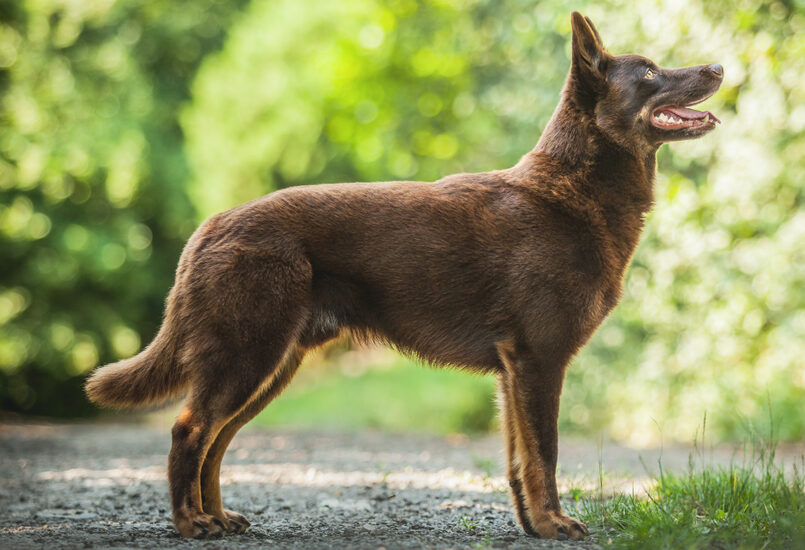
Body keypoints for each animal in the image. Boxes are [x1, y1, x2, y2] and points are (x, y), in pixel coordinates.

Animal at [86, 12, 724, 544]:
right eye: (649, 72)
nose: (718, 67)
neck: (573, 190)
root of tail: (211, 226)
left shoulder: (513, 373)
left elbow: (519, 462)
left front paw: (531, 526)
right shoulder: (538, 362)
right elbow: (545, 455)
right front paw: (554, 525)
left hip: (269, 365)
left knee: (216, 442)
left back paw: (217, 517)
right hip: (246, 354)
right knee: (189, 433)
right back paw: (190, 523)